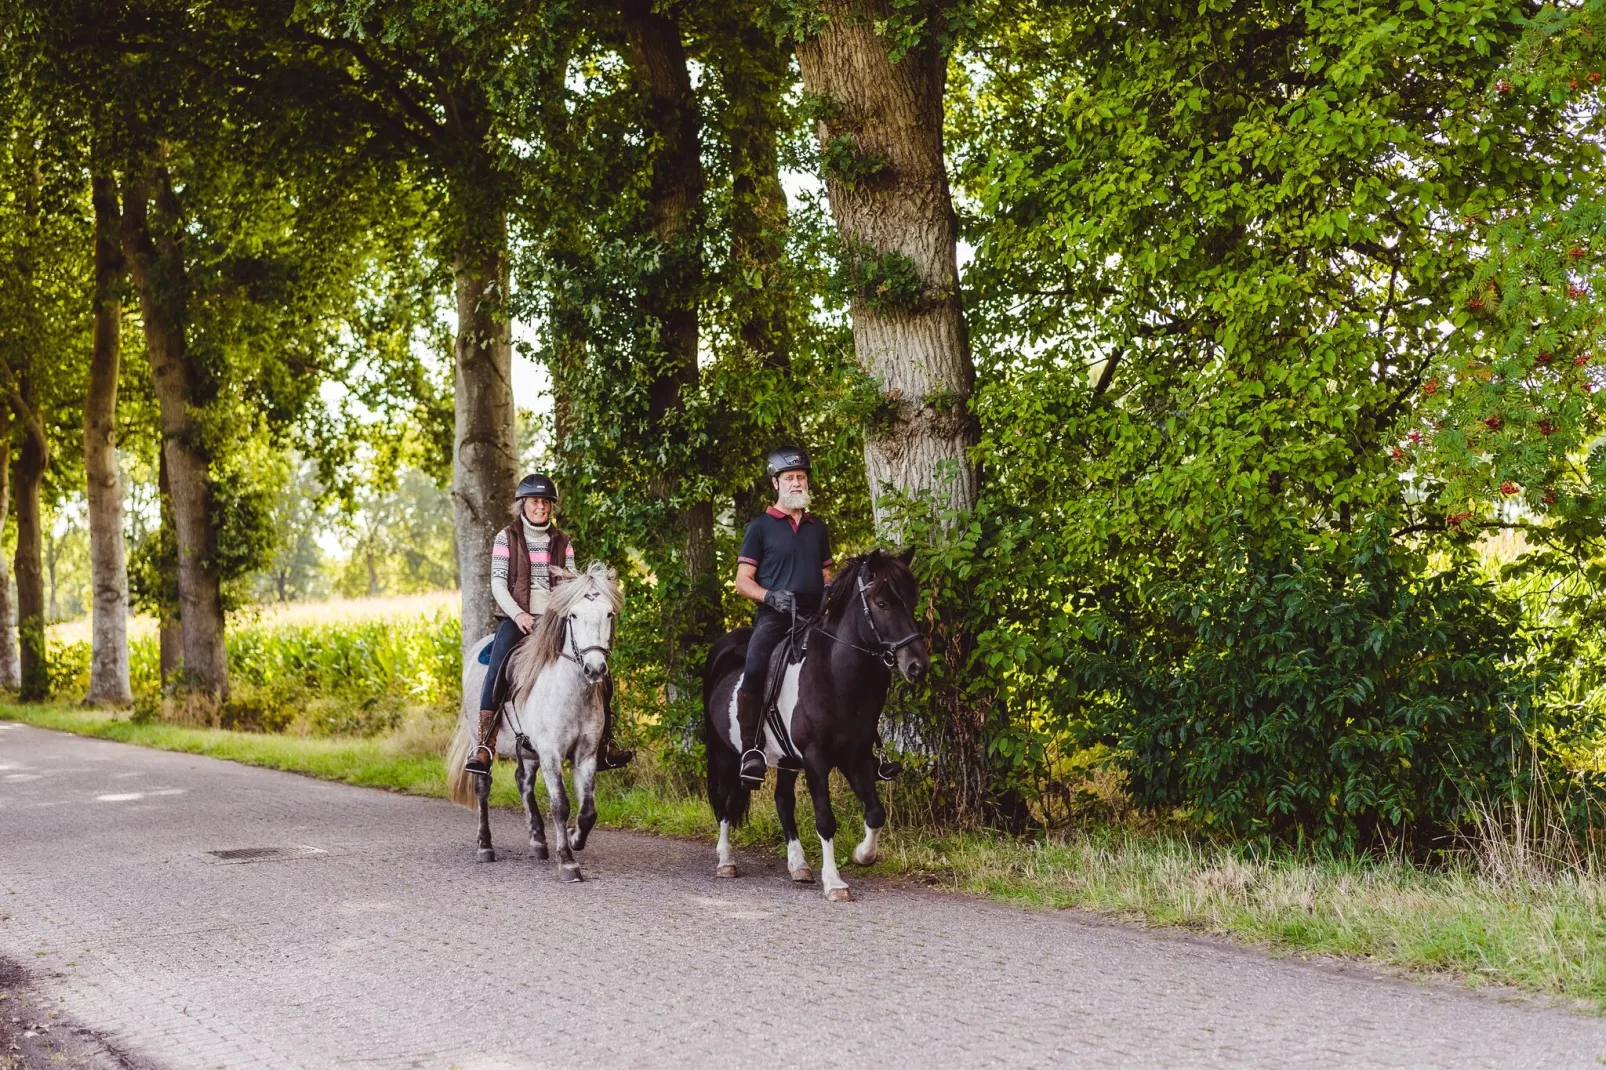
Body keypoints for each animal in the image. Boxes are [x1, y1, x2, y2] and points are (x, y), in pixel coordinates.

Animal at [446, 562, 619, 880]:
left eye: (609, 614)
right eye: (573, 615)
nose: (595, 669)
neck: (570, 691)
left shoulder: (586, 754)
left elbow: (589, 810)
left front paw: (575, 838)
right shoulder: (551, 753)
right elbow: (560, 805)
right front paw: (568, 862)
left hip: (527, 749)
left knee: (523, 781)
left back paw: (538, 842)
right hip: (480, 738)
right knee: (482, 786)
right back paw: (485, 846)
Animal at [703, 549, 931, 899]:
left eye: (912, 598)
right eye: (882, 603)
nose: (918, 666)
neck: (835, 678)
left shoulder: (855, 757)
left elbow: (875, 813)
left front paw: (863, 855)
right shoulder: (816, 758)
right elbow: (825, 820)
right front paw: (835, 882)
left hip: (785, 759)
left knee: (783, 801)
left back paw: (798, 866)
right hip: (727, 755)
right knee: (725, 802)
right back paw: (726, 862)